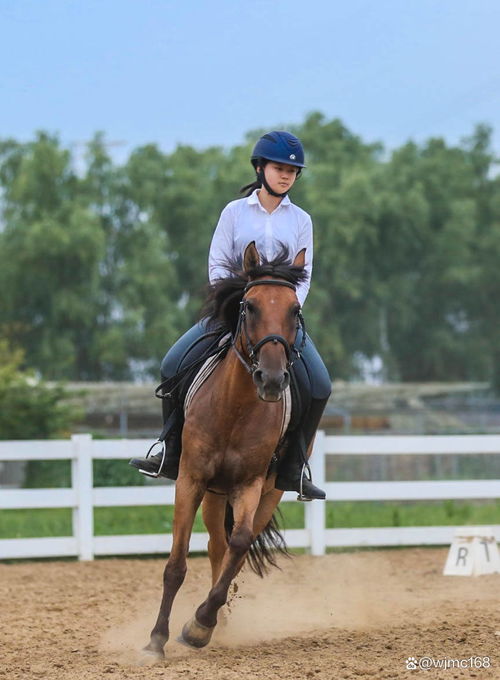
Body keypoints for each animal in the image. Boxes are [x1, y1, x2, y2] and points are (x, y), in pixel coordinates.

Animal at [143, 242, 310, 656]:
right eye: (248, 306)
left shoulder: (249, 484)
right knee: (217, 545)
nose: (271, 379)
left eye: (294, 309)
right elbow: (176, 563)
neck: (235, 408)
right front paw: (156, 640)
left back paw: (209, 620)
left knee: (236, 546)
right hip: (213, 493)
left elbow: (241, 542)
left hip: (266, 492)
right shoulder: (190, 479)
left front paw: (200, 625)